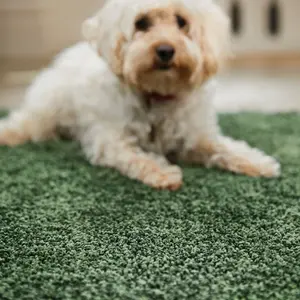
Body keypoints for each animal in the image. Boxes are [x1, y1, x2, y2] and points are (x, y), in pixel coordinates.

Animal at [0, 0, 282, 190]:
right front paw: (164, 173)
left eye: (181, 21)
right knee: (24, 122)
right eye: (142, 23)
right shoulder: (111, 141)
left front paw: (259, 162)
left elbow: (225, 147)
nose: (165, 50)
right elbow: (139, 157)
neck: (158, 94)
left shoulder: (195, 137)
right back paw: (8, 134)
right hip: (47, 109)